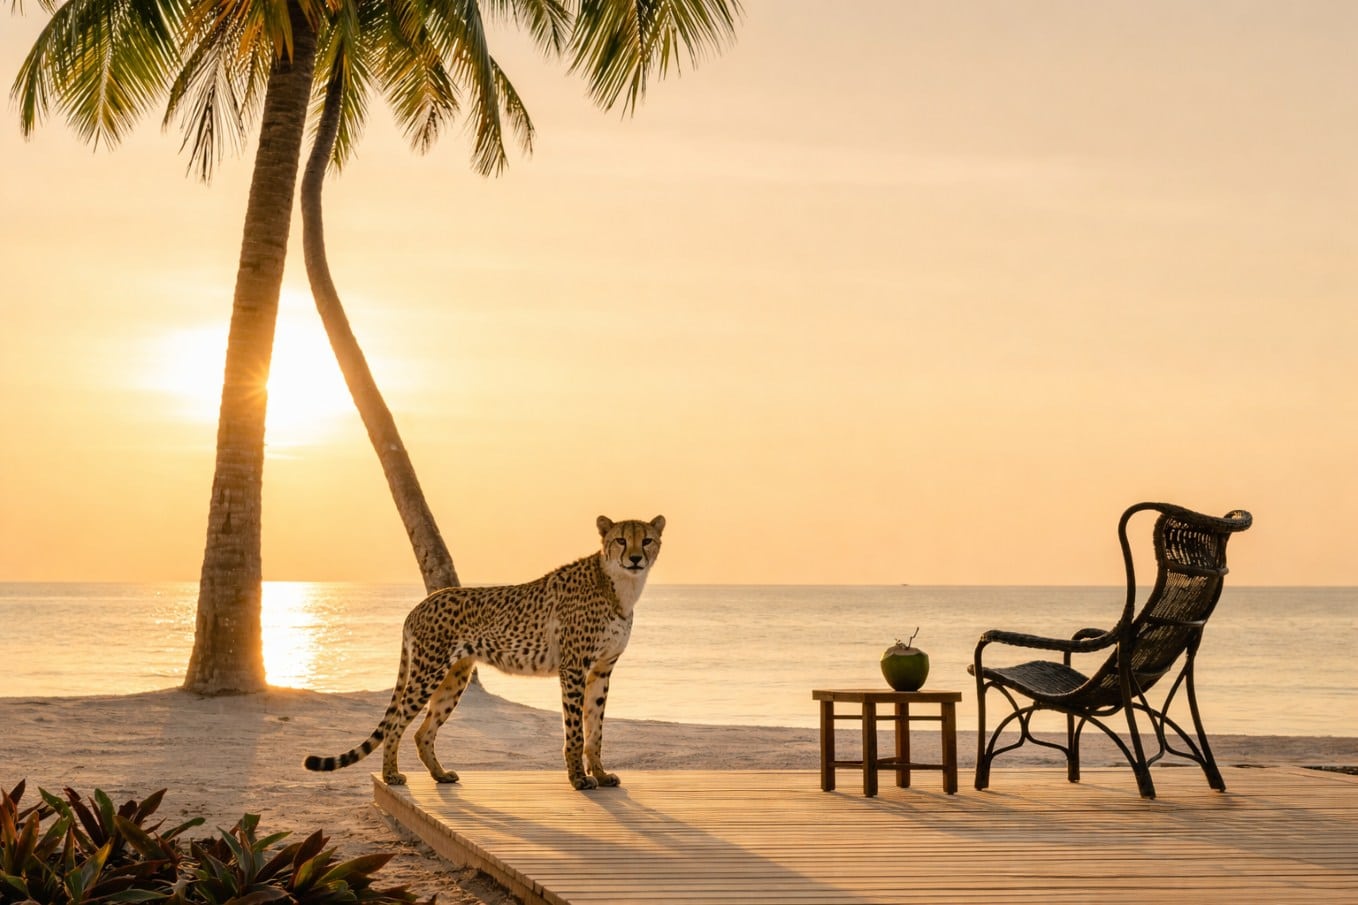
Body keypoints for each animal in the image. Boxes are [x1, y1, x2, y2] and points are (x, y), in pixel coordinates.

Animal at [304, 514, 665, 790]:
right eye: (621, 540)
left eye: (647, 540)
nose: (635, 558)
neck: (620, 586)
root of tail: (422, 603)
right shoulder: (574, 667)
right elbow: (576, 731)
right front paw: (578, 779)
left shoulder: (601, 669)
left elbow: (595, 729)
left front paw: (601, 775)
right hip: (428, 671)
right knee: (396, 724)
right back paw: (391, 775)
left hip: (455, 677)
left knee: (422, 731)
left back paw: (440, 774)